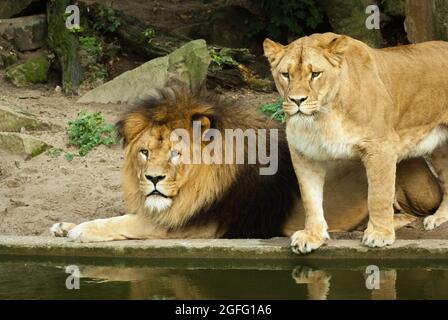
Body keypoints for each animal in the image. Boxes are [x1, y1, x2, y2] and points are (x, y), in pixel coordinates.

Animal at [262, 32, 448, 252]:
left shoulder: (380, 147)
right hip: (440, 149)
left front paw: (379, 234)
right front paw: (312, 235)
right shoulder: (304, 153)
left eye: (315, 74)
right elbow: (310, 198)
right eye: (285, 74)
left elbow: (378, 195)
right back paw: (438, 217)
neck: (323, 116)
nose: (297, 100)